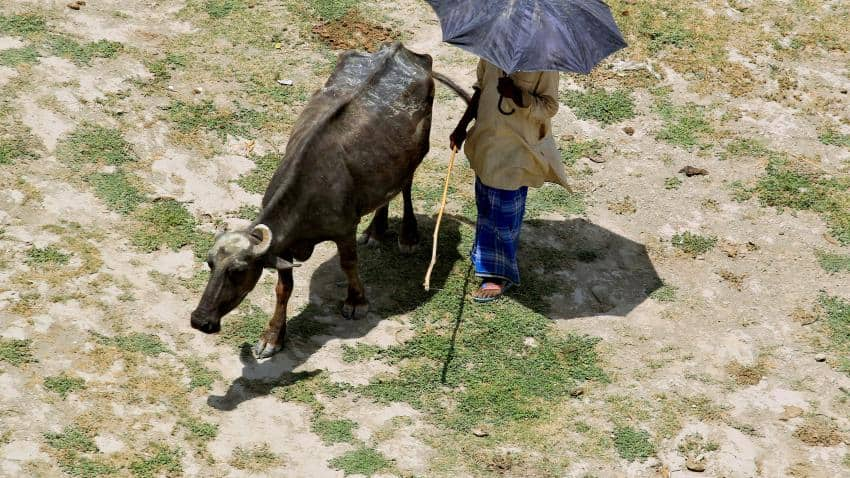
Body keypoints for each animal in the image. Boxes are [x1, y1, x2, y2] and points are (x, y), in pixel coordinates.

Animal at [189, 43, 470, 358]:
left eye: (238, 271)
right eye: (210, 263)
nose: (200, 320)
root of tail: (405, 52)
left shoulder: (344, 229)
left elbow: (349, 264)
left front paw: (356, 301)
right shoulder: (284, 248)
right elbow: (283, 288)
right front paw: (272, 336)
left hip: (417, 153)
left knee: (405, 186)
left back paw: (407, 236)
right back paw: (376, 231)